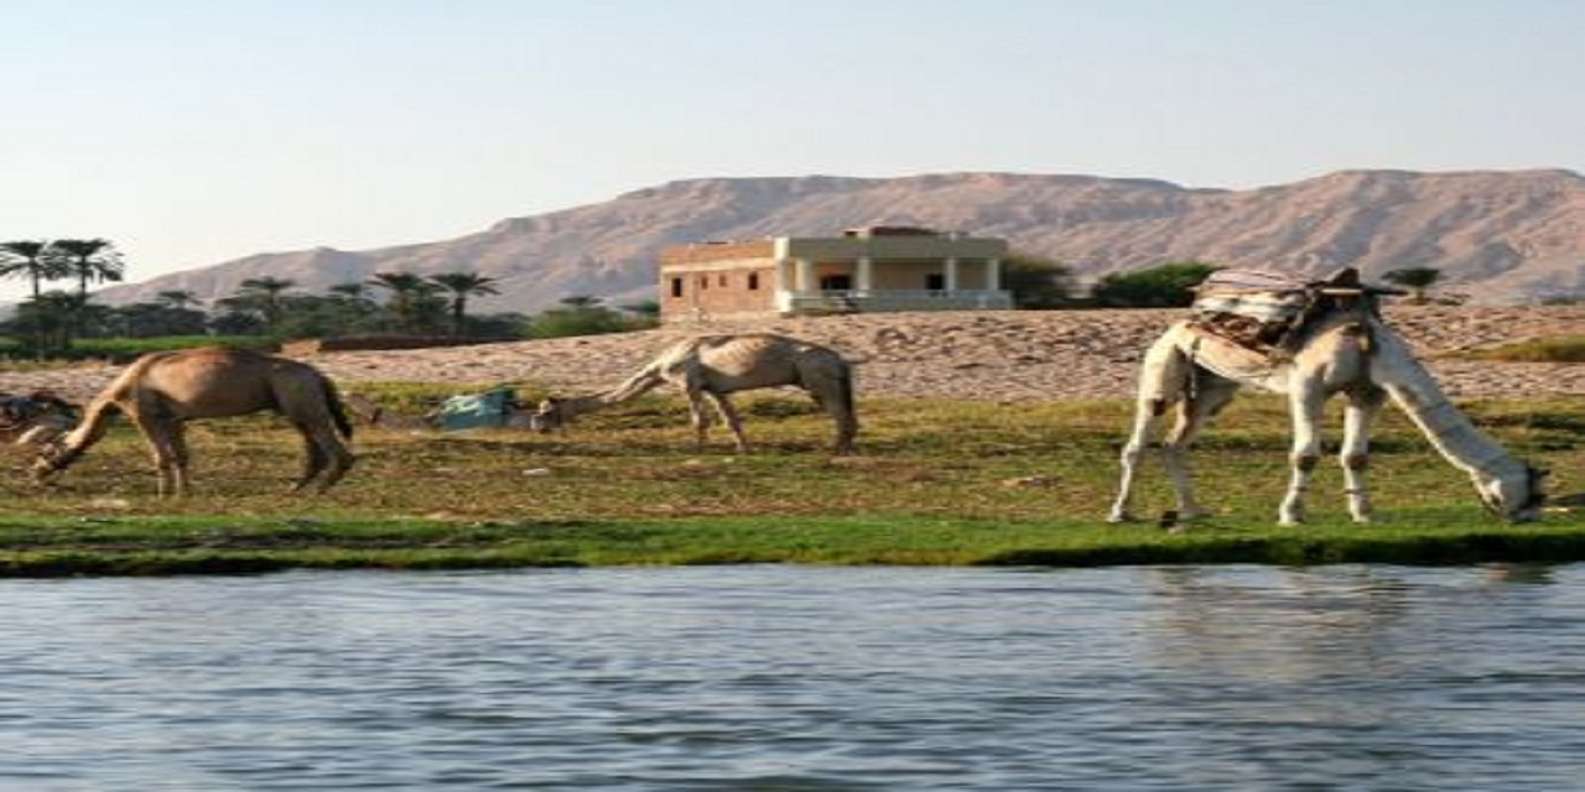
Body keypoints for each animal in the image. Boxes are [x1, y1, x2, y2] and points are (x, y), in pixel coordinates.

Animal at [32, 347, 355, 496]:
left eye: (46, 451)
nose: (36, 473)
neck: (114, 396)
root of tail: (320, 376)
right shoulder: (174, 418)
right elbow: (181, 455)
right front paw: (183, 492)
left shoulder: (143, 415)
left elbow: (160, 456)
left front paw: (162, 494)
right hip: (295, 406)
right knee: (313, 446)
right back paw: (295, 488)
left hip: (301, 400)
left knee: (337, 450)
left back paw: (319, 490)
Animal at [530, 333, 858, 454]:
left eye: (547, 410)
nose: (537, 426)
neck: (660, 367)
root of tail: (840, 360)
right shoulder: (714, 388)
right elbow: (731, 420)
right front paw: (743, 449)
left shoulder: (689, 383)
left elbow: (699, 420)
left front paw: (696, 449)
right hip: (828, 382)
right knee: (848, 415)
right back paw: (844, 447)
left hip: (817, 379)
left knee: (840, 414)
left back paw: (836, 449)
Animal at [1109, 282, 1546, 526]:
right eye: (1530, 495)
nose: (1524, 519)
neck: (1372, 347)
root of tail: (1184, 320)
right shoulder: (1308, 386)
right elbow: (1305, 454)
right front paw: (1291, 516)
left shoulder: (1368, 392)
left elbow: (1356, 456)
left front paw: (1364, 515)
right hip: (1164, 363)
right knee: (1140, 437)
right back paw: (1120, 512)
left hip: (1215, 388)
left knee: (1176, 443)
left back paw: (1192, 511)